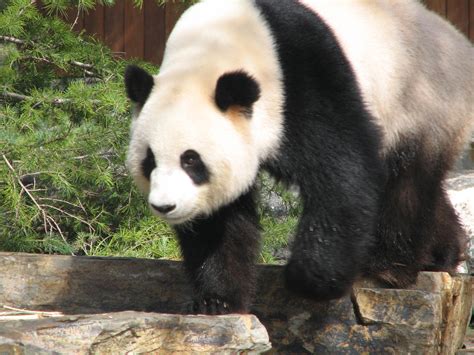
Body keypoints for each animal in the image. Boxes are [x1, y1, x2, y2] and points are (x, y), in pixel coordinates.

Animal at [124, 0, 472, 318]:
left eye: (191, 161)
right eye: (149, 161)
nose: (165, 206)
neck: (211, 48)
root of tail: (457, 40)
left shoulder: (303, 79)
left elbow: (342, 172)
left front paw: (311, 279)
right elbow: (219, 221)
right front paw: (216, 300)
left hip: (420, 101)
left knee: (406, 183)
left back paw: (387, 266)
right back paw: (443, 253)